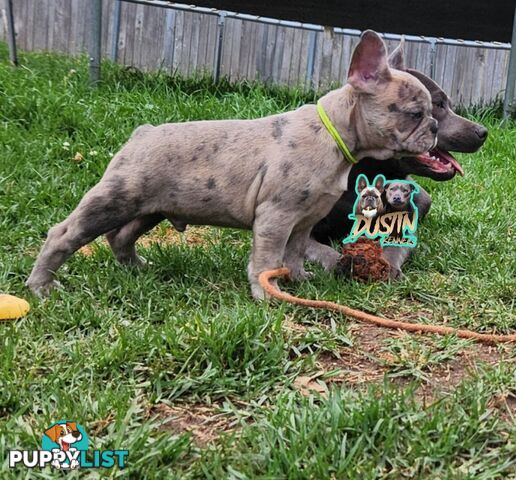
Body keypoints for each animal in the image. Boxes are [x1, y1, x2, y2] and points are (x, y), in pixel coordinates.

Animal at [26, 30, 438, 298]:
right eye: (415, 113)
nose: (433, 127)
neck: (334, 134)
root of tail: (142, 133)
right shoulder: (276, 217)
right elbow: (268, 258)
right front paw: (267, 293)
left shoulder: (303, 221)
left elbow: (293, 253)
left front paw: (298, 280)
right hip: (116, 198)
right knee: (64, 235)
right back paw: (41, 286)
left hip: (152, 207)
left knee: (121, 236)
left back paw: (135, 268)